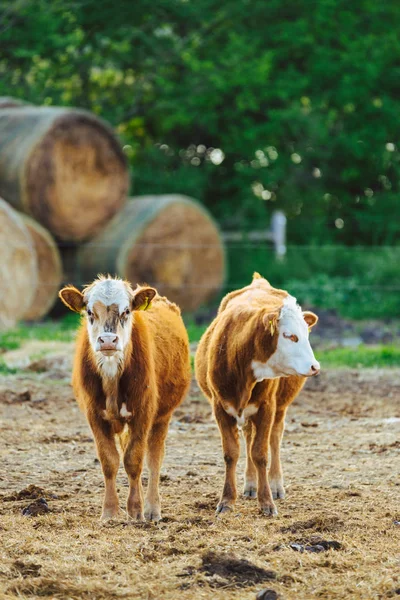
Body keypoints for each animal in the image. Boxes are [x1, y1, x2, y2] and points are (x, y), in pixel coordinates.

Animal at [59, 276, 191, 520]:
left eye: (127, 311)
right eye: (90, 312)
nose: (108, 340)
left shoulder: (143, 414)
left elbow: (134, 460)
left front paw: (136, 509)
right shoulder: (94, 415)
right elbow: (109, 460)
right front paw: (110, 511)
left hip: (162, 417)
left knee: (153, 458)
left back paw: (152, 508)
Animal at [195, 276, 320, 516]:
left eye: (306, 334)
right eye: (289, 335)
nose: (314, 366)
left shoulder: (266, 407)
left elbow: (261, 453)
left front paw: (267, 502)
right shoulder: (220, 408)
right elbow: (231, 453)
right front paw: (227, 500)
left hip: (280, 407)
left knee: (274, 438)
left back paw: (276, 485)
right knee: (248, 436)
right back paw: (251, 484)